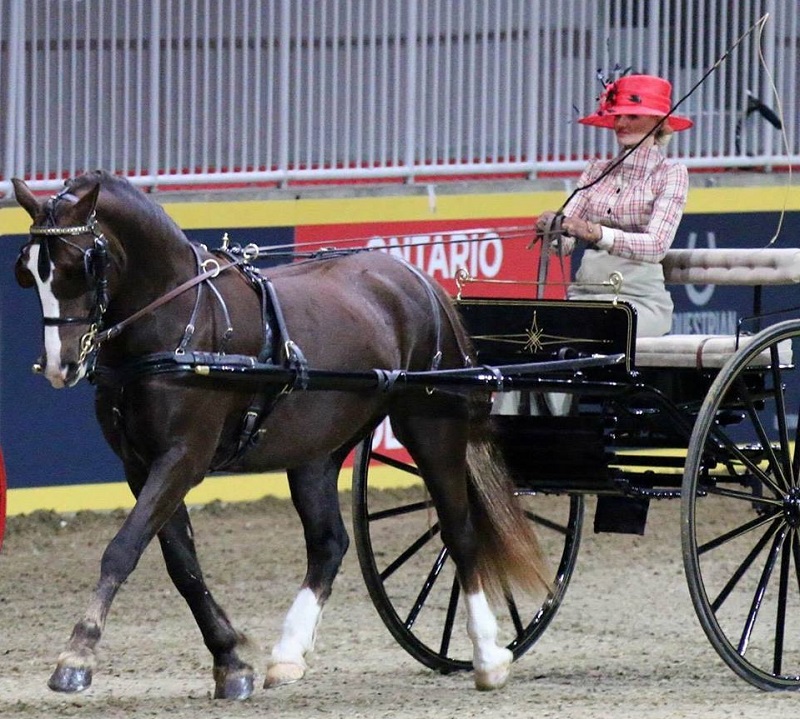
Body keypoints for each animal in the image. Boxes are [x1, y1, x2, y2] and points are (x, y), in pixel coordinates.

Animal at [14, 172, 552, 700]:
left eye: (79, 265)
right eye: (28, 272)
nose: (59, 365)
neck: (181, 319)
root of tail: (419, 282)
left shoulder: (183, 456)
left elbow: (123, 548)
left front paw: (76, 657)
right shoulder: (139, 464)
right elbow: (181, 564)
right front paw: (231, 661)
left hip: (431, 425)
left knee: (459, 531)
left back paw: (487, 658)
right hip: (317, 449)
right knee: (329, 542)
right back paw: (289, 655)